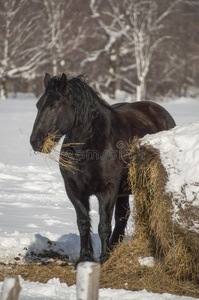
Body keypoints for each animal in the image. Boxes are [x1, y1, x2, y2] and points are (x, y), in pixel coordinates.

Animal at [29, 74, 176, 264]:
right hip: (124, 191)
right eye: (38, 105)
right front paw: (84, 258)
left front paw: (104, 259)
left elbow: (104, 226)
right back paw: (114, 248)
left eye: (55, 106)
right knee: (122, 216)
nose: (35, 141)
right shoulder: (74, 191)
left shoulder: (107, 191)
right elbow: (83, 224)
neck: (91, 147)